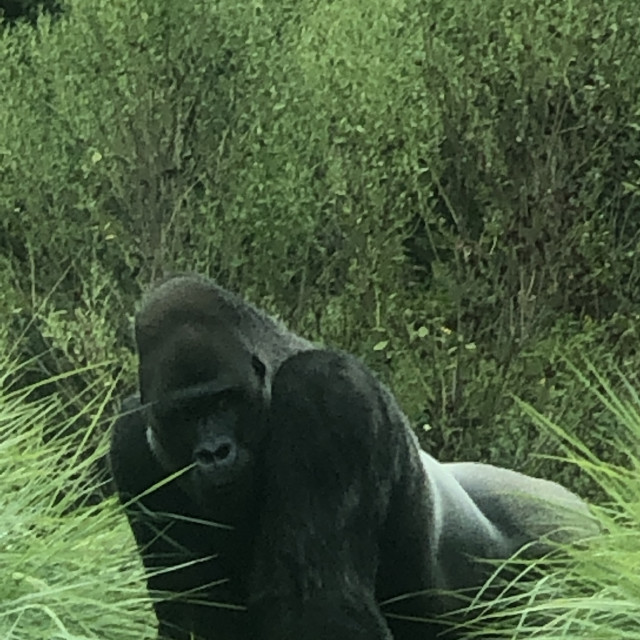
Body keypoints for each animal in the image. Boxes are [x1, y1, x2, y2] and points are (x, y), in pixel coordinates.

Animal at [110, 276, 600, 640]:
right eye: (185, 414)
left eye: (224, 401)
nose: (214, 452)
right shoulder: (131, 442)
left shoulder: (328, 393)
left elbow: (322, 608)